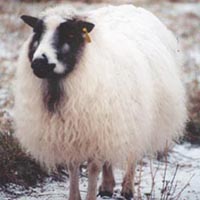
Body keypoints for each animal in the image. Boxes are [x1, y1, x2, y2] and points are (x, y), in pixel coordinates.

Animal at [13, 4, 188, 200]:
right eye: (37, 33)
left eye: (70, 34)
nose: (40, 63)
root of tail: (130, 5)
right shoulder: (74, 133)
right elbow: (73, 166)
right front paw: (75, 196)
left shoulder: (97, 130)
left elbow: (93, 168)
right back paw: (107, 186)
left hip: (137, 119)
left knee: (133, 152)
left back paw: (127, 188)